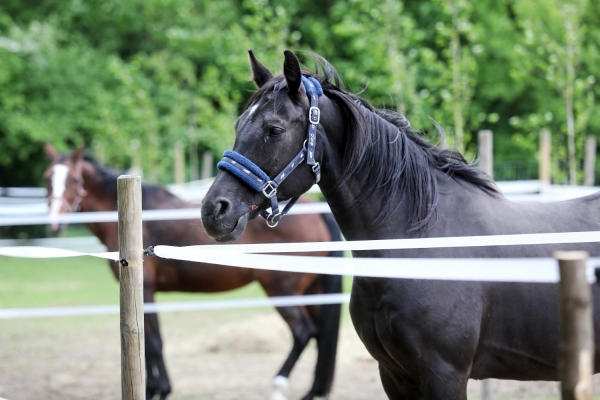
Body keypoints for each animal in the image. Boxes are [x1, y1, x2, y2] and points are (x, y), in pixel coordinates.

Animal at [42, 144, 342, 400]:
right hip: (312, 291)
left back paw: (278, 386)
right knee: (319, 335)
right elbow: (152, 341)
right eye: (48, 178)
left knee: (303, 333)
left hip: (282, 290)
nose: (55, 223)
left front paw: (157, 390)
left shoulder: (145, 290)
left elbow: (153, 342)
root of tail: (316, 212)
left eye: (74, 180)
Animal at [200, 50, 600, 400]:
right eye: (238, 125)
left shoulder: (445, 375)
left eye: (274, 129)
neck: (418, 243)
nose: (214, 210)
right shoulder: (394, 375)